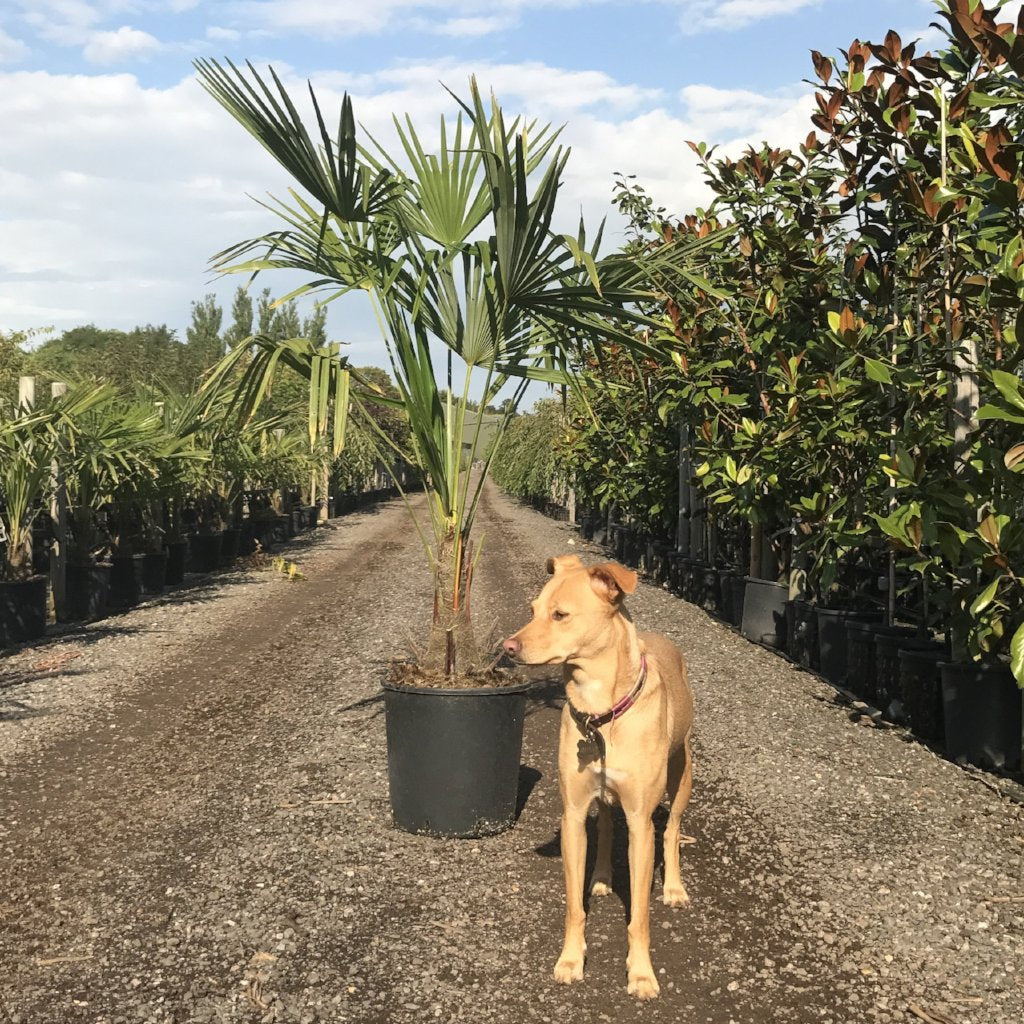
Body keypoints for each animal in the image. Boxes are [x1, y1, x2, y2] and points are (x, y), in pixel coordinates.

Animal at [503, 557, 696, 995]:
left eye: (560, 615)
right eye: (533, 610)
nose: (508, 647)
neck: (601, 714)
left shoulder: (641, 823)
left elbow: (639, 915)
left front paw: (641, 972)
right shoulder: (573, 815)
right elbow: (574, 906)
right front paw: (571, 959)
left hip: (682, 774)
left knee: (672, 829)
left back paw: (674, 887)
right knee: (607, 824)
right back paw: (604, 876)